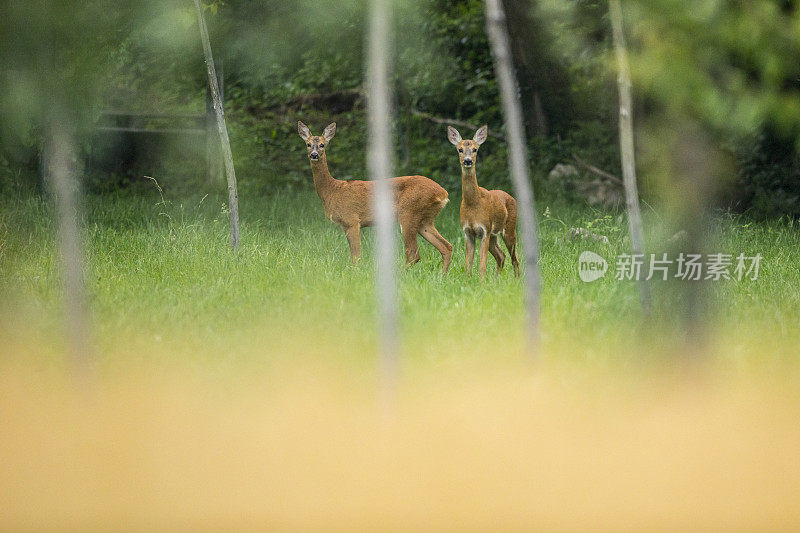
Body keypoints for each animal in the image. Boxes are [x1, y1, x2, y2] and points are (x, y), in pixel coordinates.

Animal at [298, 119, 454, 270]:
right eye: (308, 144)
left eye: (322, 145)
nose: (314, 155)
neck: (332, 190)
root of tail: (443, 194)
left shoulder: (351, 220)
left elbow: (356, 257)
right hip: (425, 220)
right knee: (446, 246)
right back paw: (442, 275)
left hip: (408, 212)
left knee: (413, 254)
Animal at [446, 122, 520, 276]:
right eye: (460, 149)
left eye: (475, 149)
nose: (468, 161)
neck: (473, 204)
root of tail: (511, 197)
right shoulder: (468, 232)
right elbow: (468, 266)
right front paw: (468, 279)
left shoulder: (485, 229)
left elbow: (482, 266)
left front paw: (482, 280)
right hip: (494, 235)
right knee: (501, 255)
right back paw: (497, 279)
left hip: (509, 228)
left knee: (514, 258)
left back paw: (517, 278)